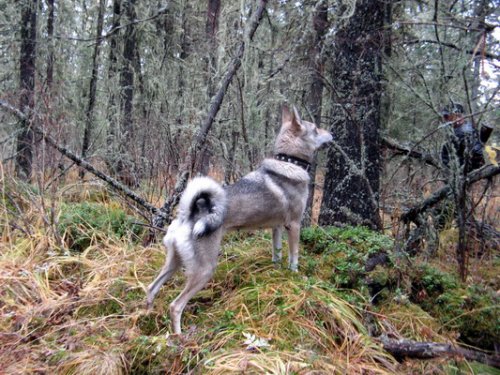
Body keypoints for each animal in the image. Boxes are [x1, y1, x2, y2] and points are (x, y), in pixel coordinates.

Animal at [147, 106, 332, 334]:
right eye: (315, 129)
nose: (332, 133)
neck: (288, 162)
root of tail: (188, 213)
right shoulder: (294, 225)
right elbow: (294, 256)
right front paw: (295, 275)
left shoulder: (277, 227)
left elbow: (277, 253)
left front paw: (276, 272)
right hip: (204, 270)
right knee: (175, 306)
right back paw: (179, 336)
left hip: (174, 262)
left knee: (151, 289)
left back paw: (146, 317)